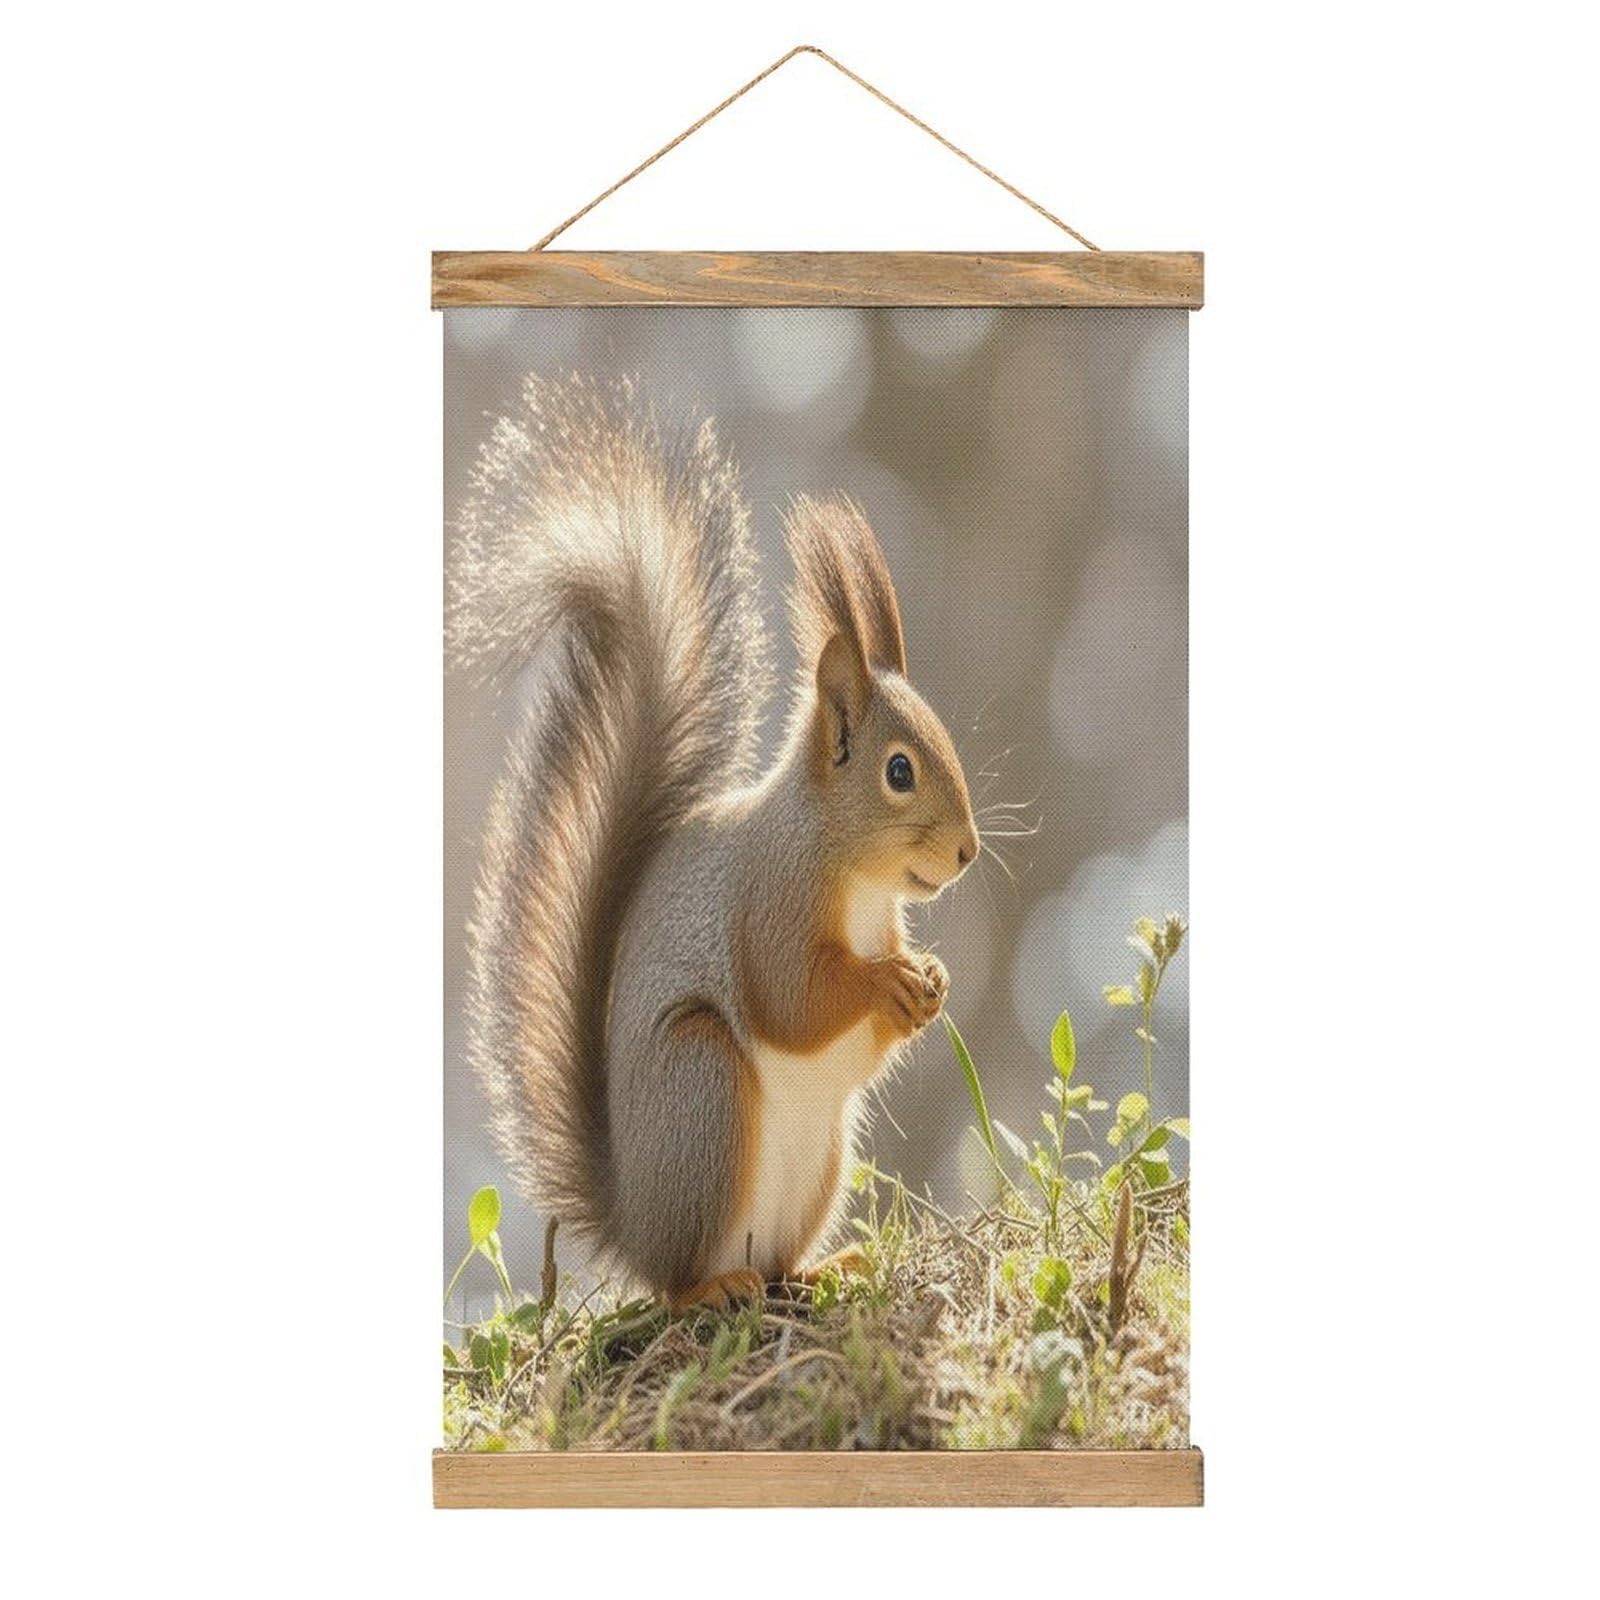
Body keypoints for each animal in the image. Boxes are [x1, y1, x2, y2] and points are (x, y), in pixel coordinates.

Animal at [450, 375, 979, 1311]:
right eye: (900, 771)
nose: (968, 852)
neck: (850, 873)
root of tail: (634, 1224)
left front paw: (932, 981)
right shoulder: (771, 896)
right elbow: (790, 997)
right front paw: (886, 981)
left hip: (822, 1158)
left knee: (779, 1263)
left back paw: (820, 1267)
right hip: (702, 1085)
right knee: (680, 1280)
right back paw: (711, 1288)